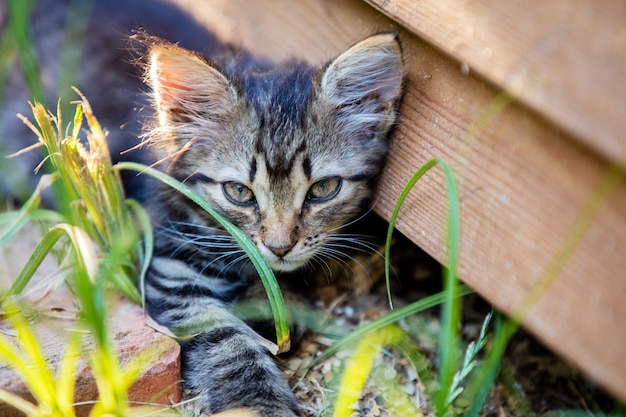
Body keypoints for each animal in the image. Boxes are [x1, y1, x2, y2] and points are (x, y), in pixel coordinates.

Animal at [139, 32, 402, 412]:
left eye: (323, 189)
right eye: (238, 191)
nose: (279, 248)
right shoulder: (173, 268)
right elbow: (229, 342)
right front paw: (260, 404)